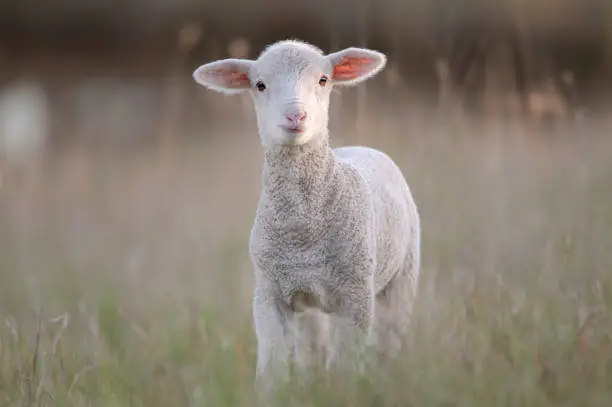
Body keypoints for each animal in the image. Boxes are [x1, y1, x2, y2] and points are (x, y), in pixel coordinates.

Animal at [192, 39, 420, 392]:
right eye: (260, 85)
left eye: (323, 80)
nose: (295, 114)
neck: (303, 234)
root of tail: (359, 147)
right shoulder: (269, 293)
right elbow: (272, 368)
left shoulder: (356, 296)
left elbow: (345, 367)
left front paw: (343, 394)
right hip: (310, 305)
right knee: (314, 352)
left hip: (402, 277)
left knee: (386, 346)